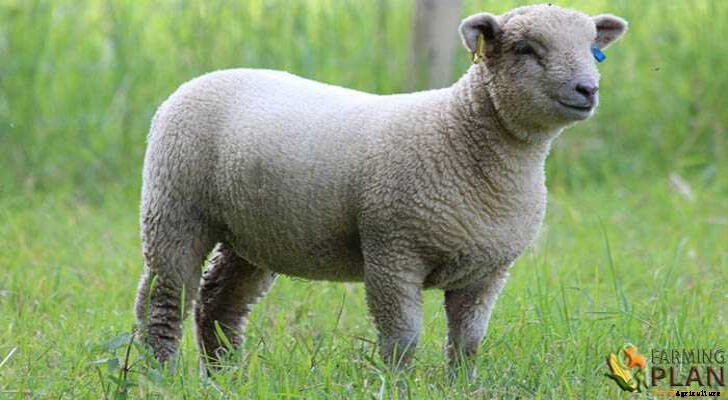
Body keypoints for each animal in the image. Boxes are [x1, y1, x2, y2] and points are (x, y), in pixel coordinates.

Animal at [134, 4, 627, 371]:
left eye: (594, 51)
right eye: (525, 49)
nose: (588, 89)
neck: (460, 135)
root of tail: (202, 78)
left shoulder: (486, 270)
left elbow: (467, 343)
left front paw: (461, 386)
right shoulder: (392, 252)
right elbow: (402, 340)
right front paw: (398, 385)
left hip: (253, 234)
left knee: (219, 302)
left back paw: (226, 374)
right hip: (173, 209)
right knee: (163, 300)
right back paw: (163, 374)